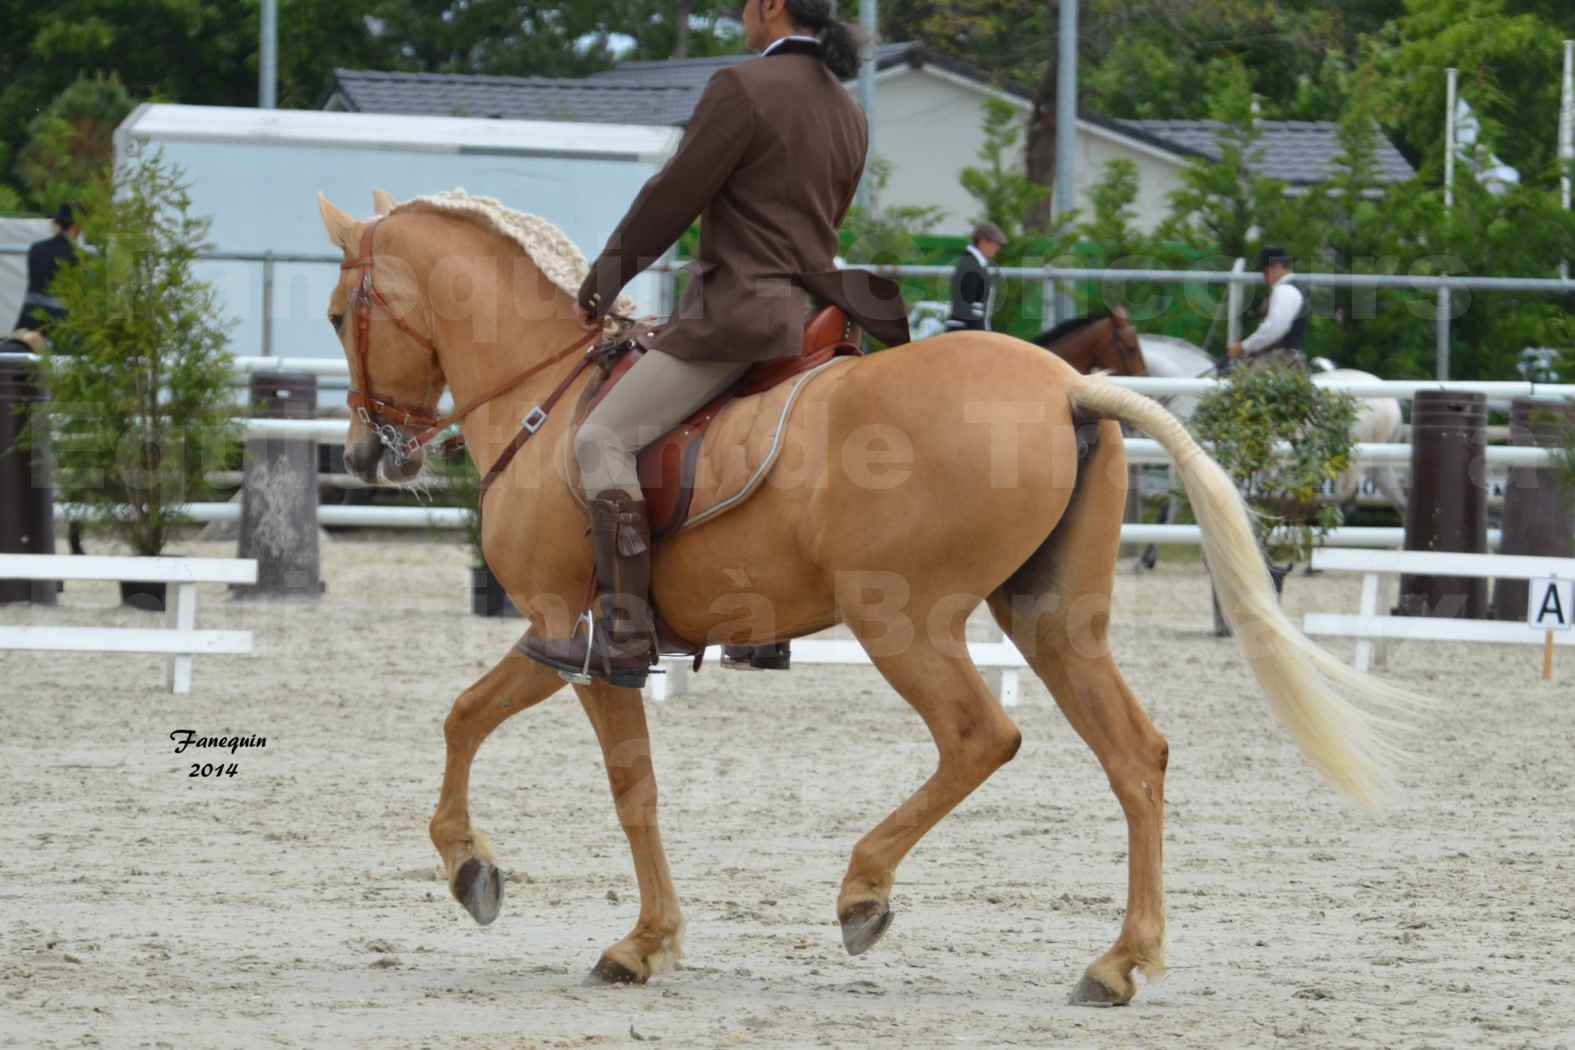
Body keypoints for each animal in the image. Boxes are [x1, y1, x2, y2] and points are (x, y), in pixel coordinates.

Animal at [310, 192, 1417, 1007]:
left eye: (335, 315)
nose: (369, 454)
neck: (547, 396)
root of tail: (1066, 387)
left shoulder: (566, 633)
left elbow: (580, 768)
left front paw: (559, 909)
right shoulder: (567, 640)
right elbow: (512, 736)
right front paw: (587, 913)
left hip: (904, 623)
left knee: (981, 738)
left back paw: (863, 894)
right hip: (1052, 620)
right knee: (1134, 756)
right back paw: (1118, 962)